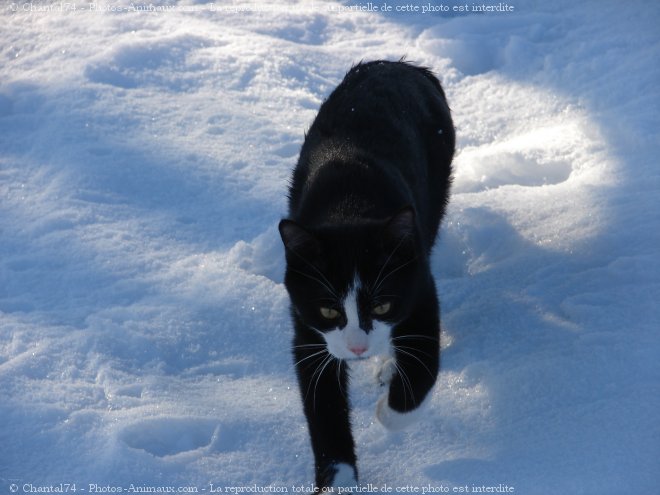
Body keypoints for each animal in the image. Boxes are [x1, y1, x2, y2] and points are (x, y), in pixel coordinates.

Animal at [278, 60, 454, 490]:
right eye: (328, 310)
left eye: (382, 305)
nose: (358, 349)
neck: (349, 207)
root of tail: (401, 64)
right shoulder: (306, 327)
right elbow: (323, 408)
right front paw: (338, 482)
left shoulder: (418, 290)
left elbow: (423, 368)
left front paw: (388, 410)